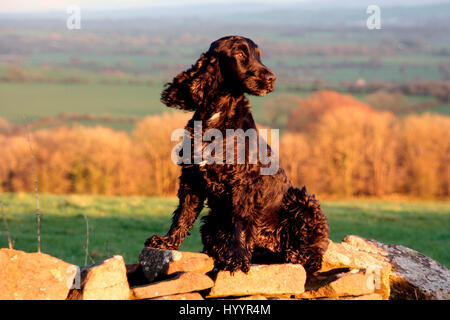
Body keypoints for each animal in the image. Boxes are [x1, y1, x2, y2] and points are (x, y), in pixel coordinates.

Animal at [146, 36, 328, 274]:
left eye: (258, 55)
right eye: (241, 54)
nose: (271, 78)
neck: (217, 117)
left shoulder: (243, 183)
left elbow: (240, 222)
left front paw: (237, 259)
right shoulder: (191, 179)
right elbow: (182, 214)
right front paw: (167, 242)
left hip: (301, 199)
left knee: (315, 254)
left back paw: (295, 254)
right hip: (213, 222)